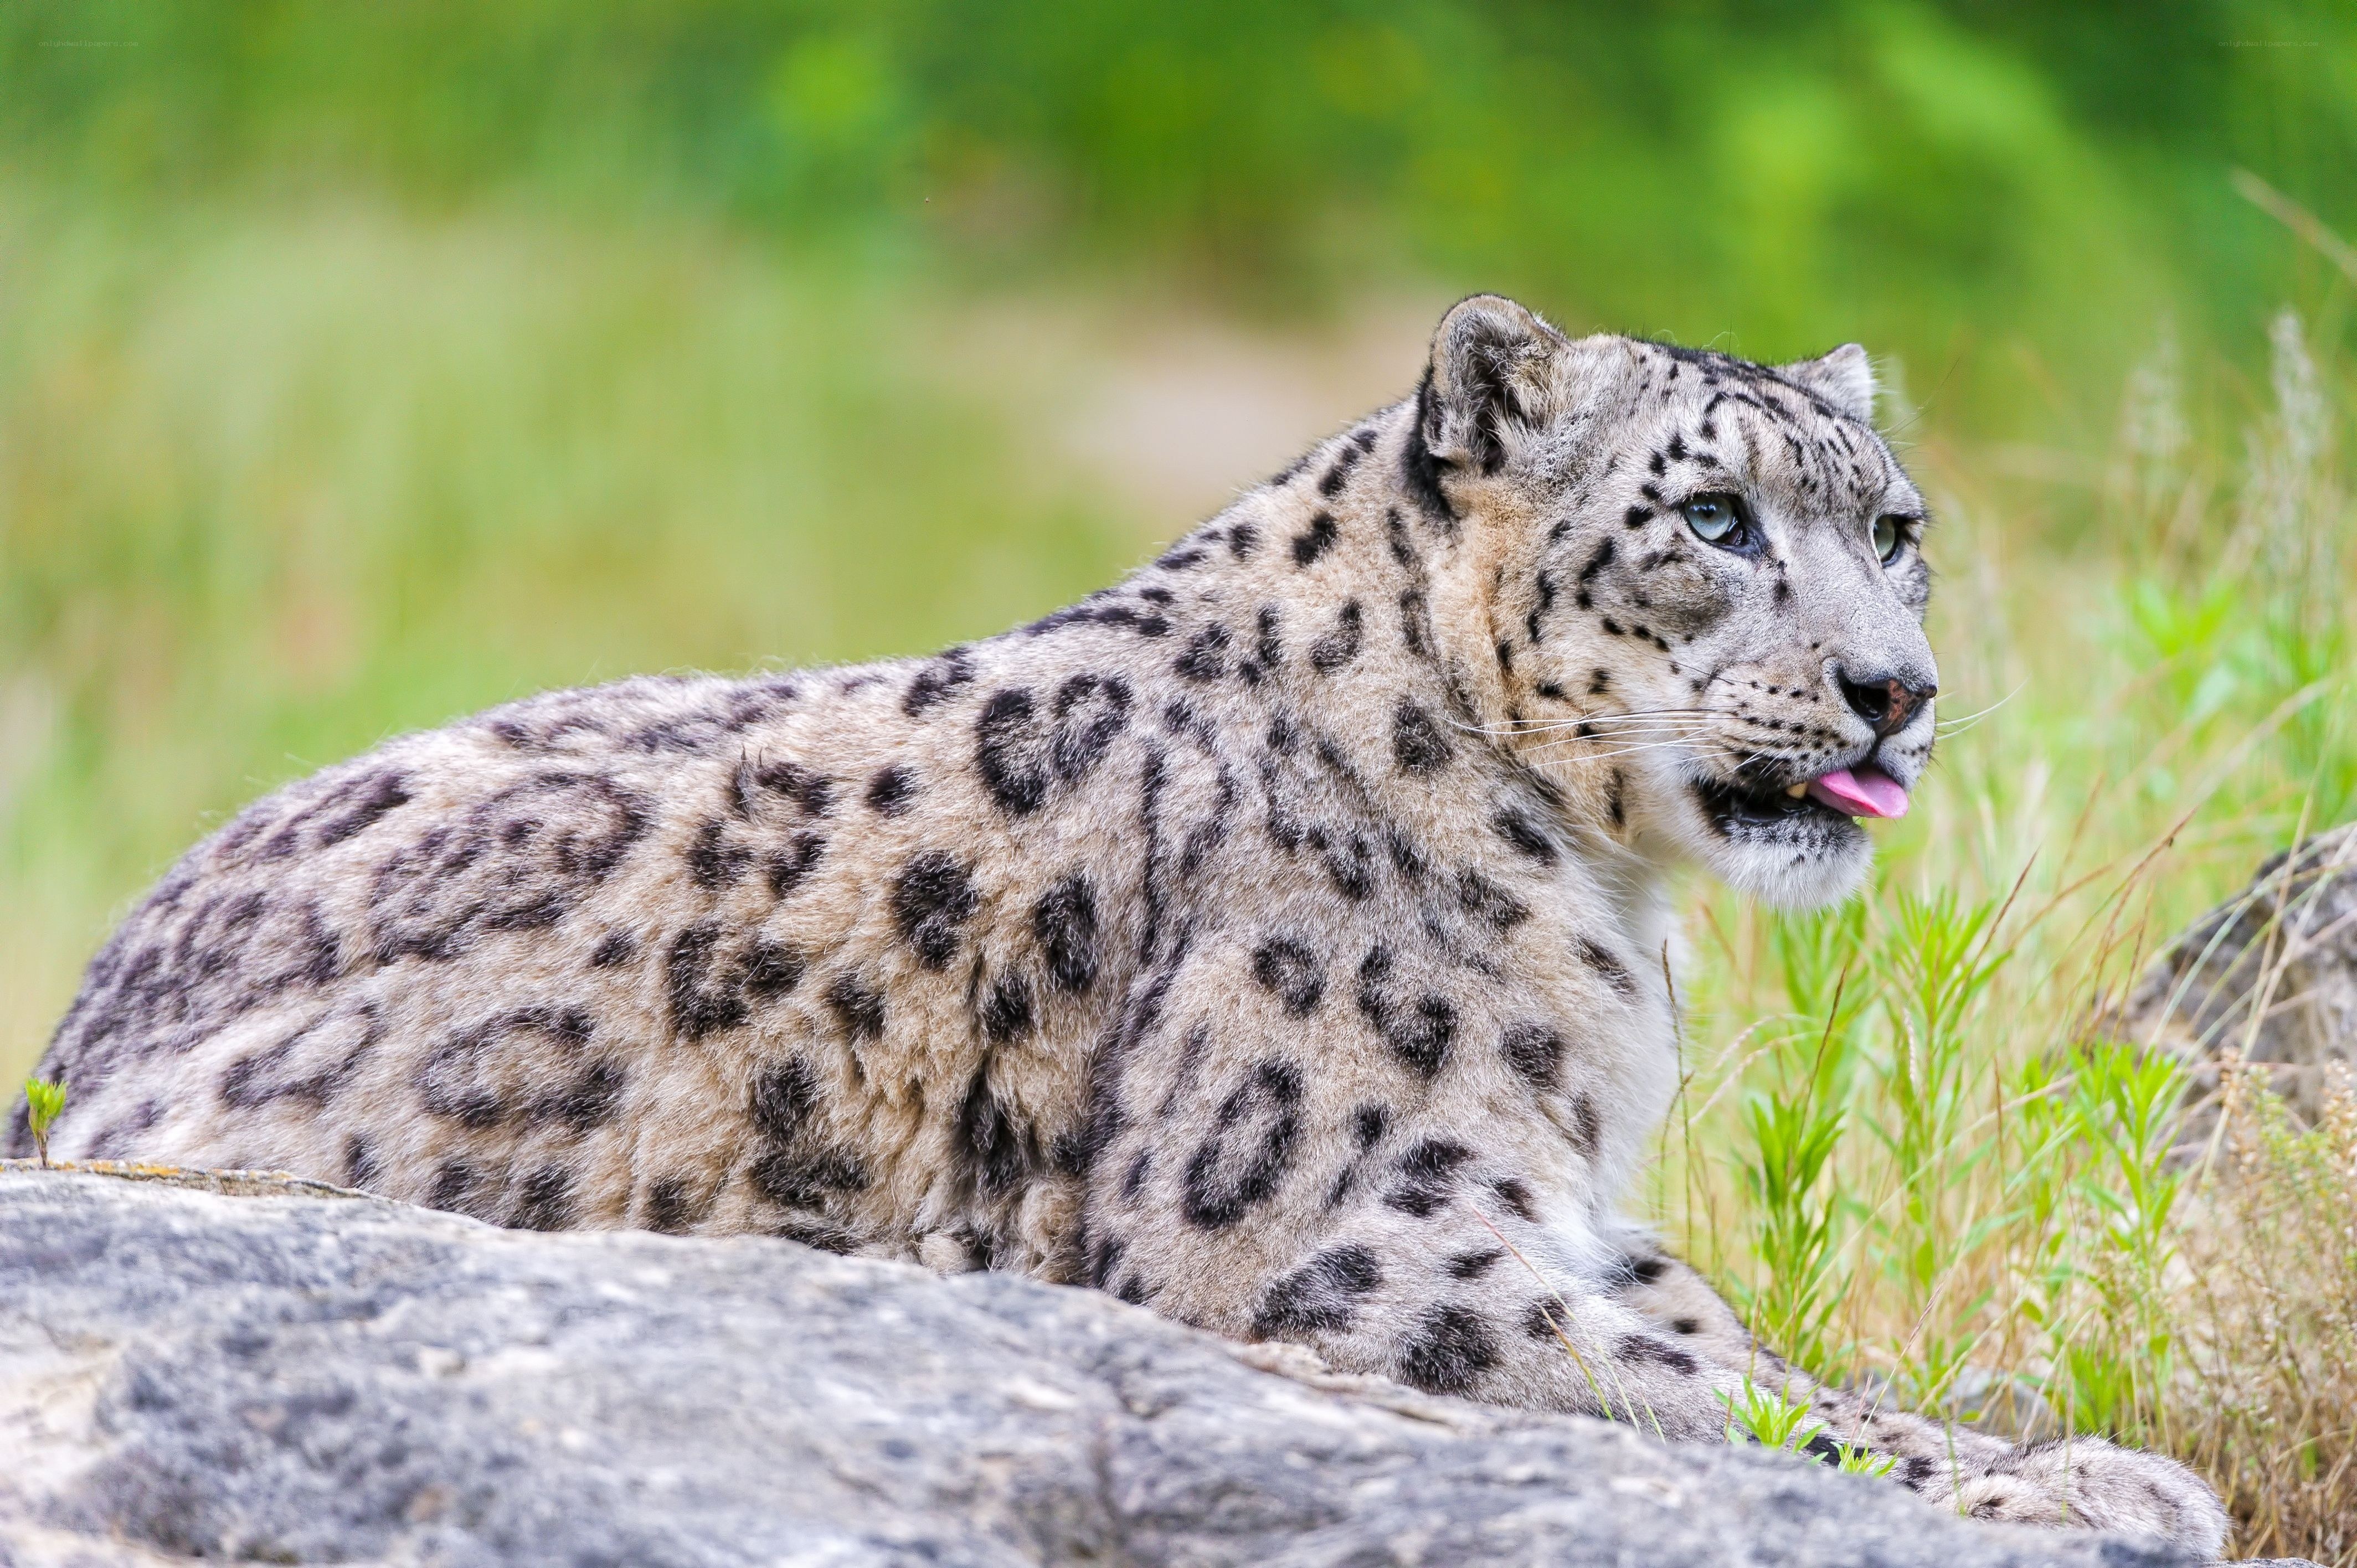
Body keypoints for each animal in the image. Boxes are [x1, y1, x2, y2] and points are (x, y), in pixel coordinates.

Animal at [13, 295, 2227, 1554]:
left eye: (1891, 531)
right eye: (1708, 520)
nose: (1891, 690)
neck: (1608, 921)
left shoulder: (1566, 1211)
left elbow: (1757, 1347)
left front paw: (2053, 1437)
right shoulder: (1354, 1239)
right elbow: (1736, 1403)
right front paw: (2082, 1484)